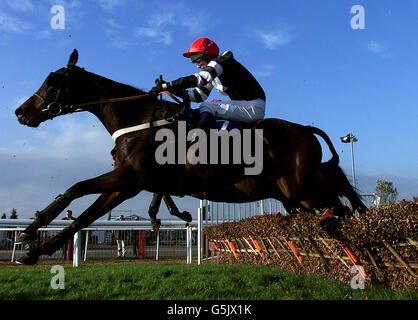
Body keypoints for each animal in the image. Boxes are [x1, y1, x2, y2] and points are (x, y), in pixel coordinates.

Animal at [13, 49, 366, 264]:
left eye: (53, 81)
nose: (20, 112)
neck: (139, 118)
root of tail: (304, 129)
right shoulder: (127, 182)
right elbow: (83, 211)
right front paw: (32, 241)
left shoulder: (130, 178)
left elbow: (78, 192)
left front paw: (32, 240)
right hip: (298, 195)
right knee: (340, 199)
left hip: (304, 190)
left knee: (341, 202)